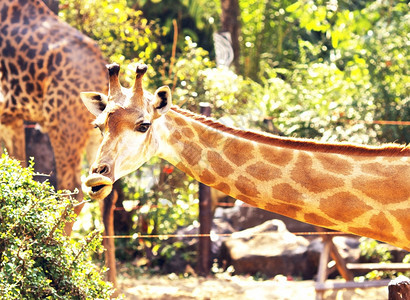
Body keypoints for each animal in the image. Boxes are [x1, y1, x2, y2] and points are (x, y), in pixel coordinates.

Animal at [0, 0, 118, 288]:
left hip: (63, 127)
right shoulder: (11, 117)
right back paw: (111, 284)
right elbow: (19, 174)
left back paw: (57, 261)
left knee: (73, 190)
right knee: (106, 191)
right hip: (96, 135)